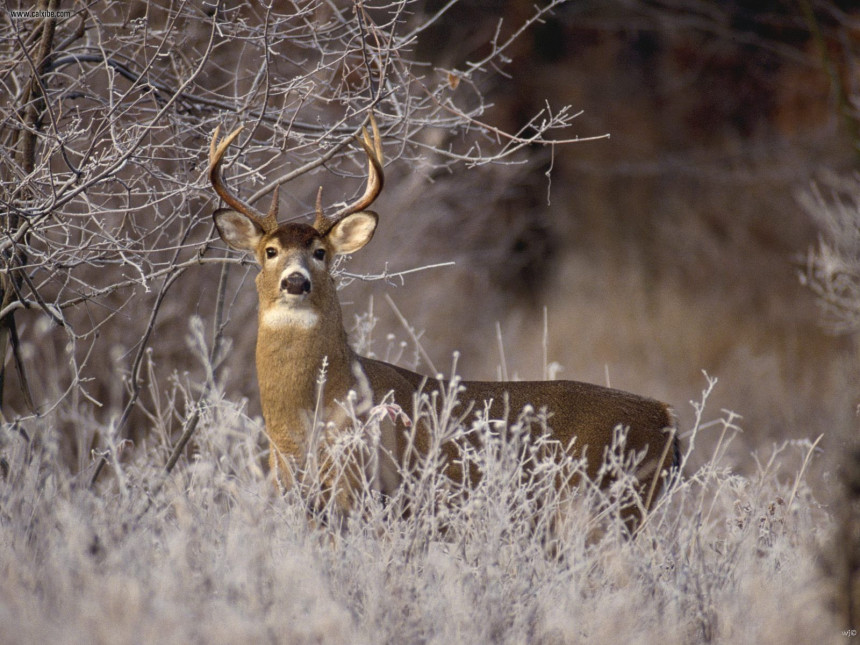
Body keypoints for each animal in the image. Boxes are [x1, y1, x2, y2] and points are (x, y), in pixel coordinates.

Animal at [207, 117, 680, 532]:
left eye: (321, 252)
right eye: (269, 251)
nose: (295, 281)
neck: (303, 419)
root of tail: (666, 415)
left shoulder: (365, 488)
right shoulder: (295, 489)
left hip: (608, 503)